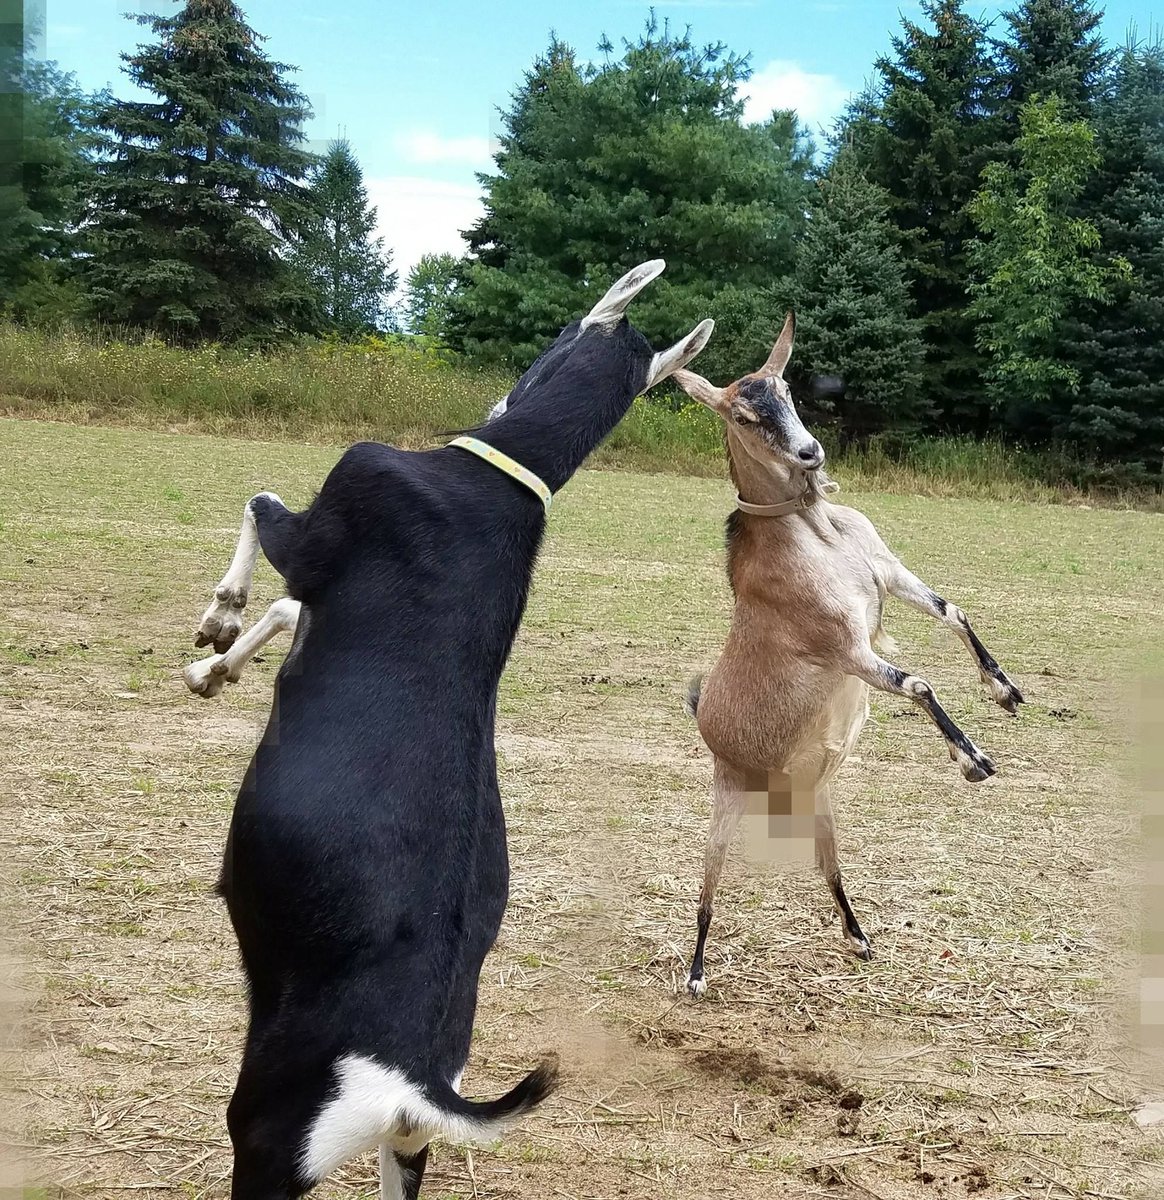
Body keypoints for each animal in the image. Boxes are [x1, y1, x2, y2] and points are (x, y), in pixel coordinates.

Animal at [193, 261, 714, 1199]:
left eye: (559, 335)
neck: (499, 478)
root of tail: (412, 1078)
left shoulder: (323, 528)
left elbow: (259, 511)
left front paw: (217, 626)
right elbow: (288, 607)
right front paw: (220, 666)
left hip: (270, 1134)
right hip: (405, 1145)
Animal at [672, 313, 1023, 998]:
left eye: (787, 391)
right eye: (742, 415)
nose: (810, 453)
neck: (816, 531)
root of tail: (706, 719)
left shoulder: (884, 574)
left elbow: (953, 611)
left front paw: (1006, 691)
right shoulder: (842, 646)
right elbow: (917, 683)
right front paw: (973, 760)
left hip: (819, 799)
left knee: (825, 866)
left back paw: (860, 938)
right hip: (726, 794)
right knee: (706, 884)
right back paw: (697, 974)